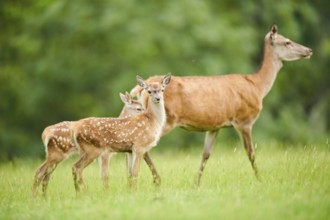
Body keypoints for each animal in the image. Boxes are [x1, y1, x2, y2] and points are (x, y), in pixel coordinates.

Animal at [32, 92, 160, 197]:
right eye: (138, 108)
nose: (147, 115)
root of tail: (45, 133)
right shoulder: (106, 154)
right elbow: (105, 175)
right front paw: (107, 192)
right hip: (59, 154)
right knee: (43, 173)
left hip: (55, 156)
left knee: (46, 176)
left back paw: (44, 197)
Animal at [129, 24, 312, 186]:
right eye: (287, 42)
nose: (309, 50)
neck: (258, 87)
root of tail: (142, 88)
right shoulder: (245, 120)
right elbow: (251, 153)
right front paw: (260, 180)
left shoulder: (215, 126)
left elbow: (206, 154)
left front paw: (196, 183)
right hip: (167, 120)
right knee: (144, 147)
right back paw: (156, 180)